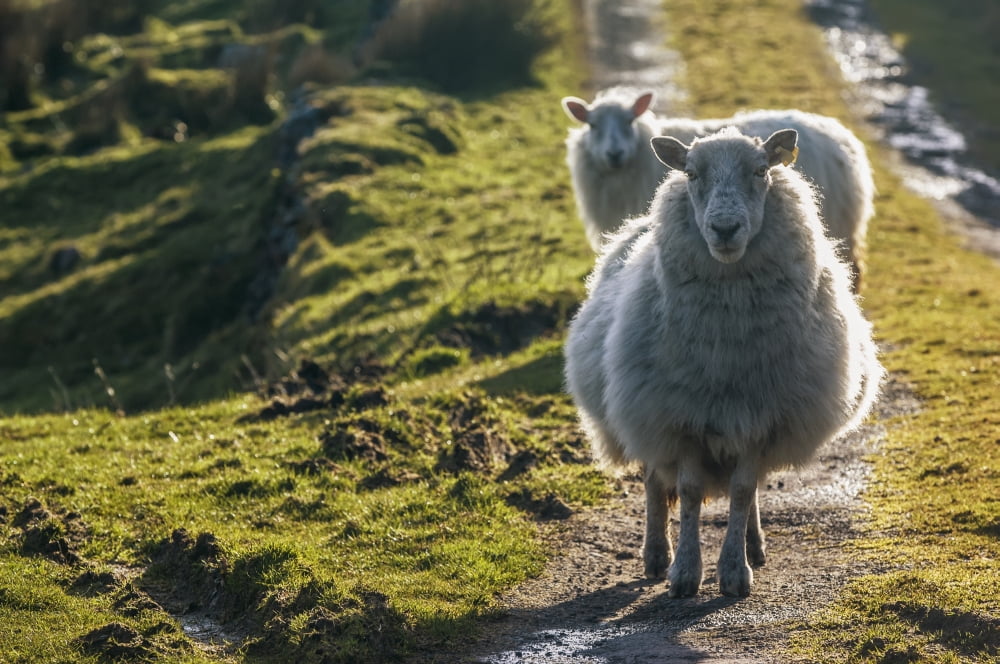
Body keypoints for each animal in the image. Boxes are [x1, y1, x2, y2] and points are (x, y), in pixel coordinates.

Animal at [563, 127, 883, 598]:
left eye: (761, 170)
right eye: (691, 173)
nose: (725, 228)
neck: (727, 348)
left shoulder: (762, 417)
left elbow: (743, 490)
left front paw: (734, 570)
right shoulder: (679, 417)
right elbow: (689, 491)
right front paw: (684, 572)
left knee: (744, 491)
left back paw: (753, 544)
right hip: (643, 411)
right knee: (654, 480)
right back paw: (656, 554)